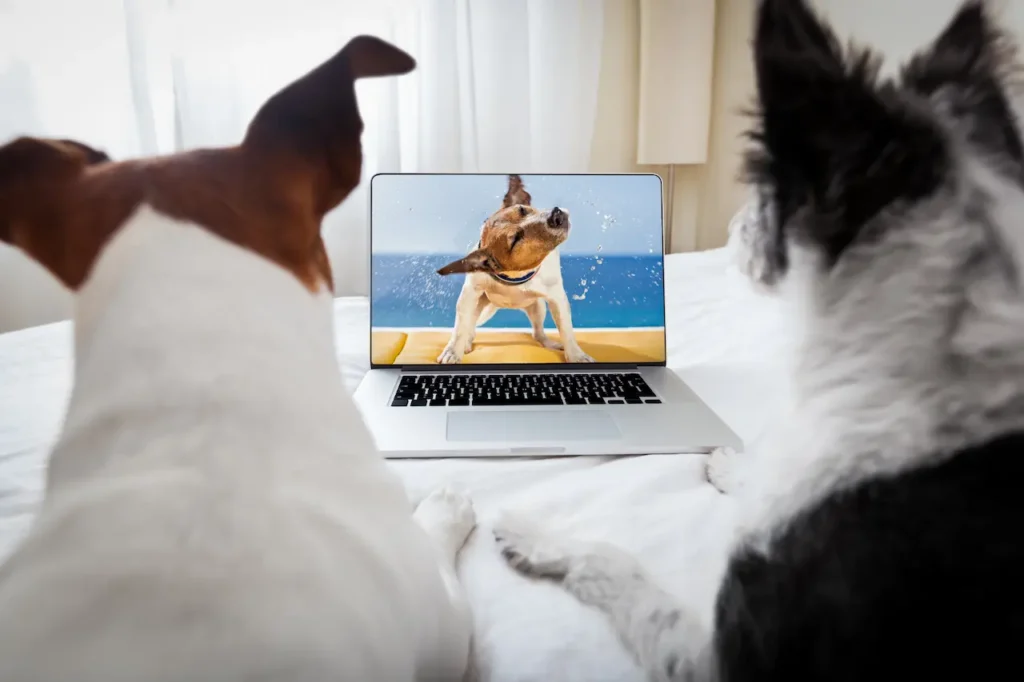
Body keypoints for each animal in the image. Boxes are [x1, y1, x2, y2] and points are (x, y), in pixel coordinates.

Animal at [432, 175, 593, 364]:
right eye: (516, 238)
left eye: (522, 209)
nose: (556, 214)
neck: (516, 276)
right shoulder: (469, 294)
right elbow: (459, 330)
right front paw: (452, 352)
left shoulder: (556, 297)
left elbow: (566, 329)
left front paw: (576, 355)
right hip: (477, 304)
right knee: (469, 326)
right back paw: (466, 343)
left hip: (538, 306)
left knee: (538, 332)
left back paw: (548, 343)